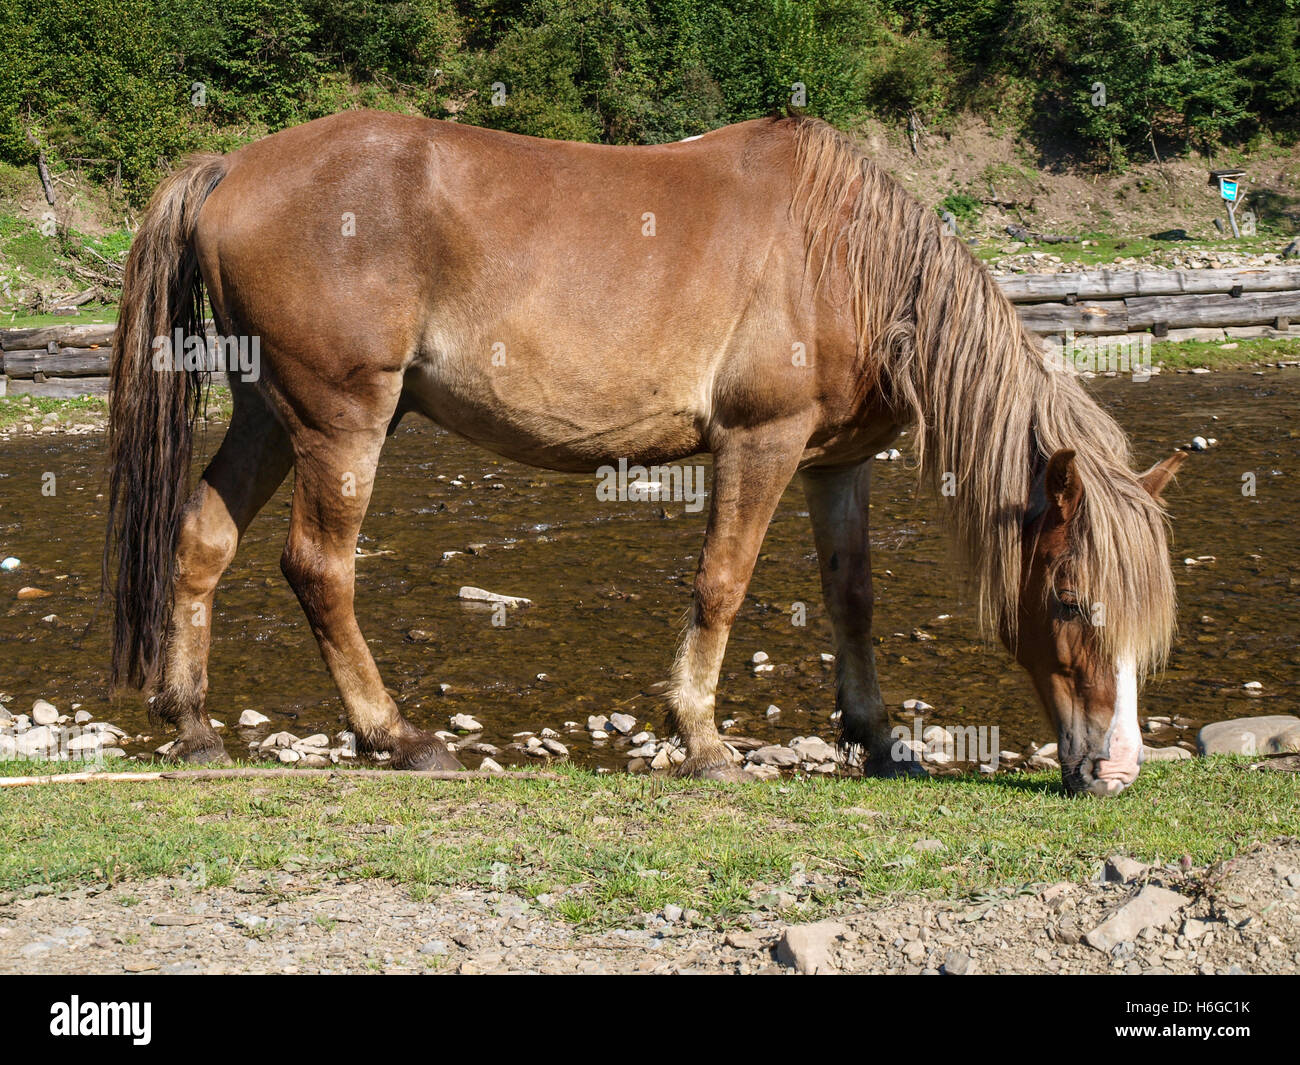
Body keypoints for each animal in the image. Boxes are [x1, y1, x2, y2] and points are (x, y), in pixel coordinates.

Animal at [104, 110, 1185, 795]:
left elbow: (853, 597)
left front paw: (877, 738)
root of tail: (231, 170)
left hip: (266, 415)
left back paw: (193, 724)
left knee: (201, 541)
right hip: (341, 424)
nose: (1116, 771)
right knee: (318, 568)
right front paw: (701, 740)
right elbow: (722, 584)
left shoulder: (836, 463)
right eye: (1068, 602)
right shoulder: (759, 443)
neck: (846, 258)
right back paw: (395, 737)